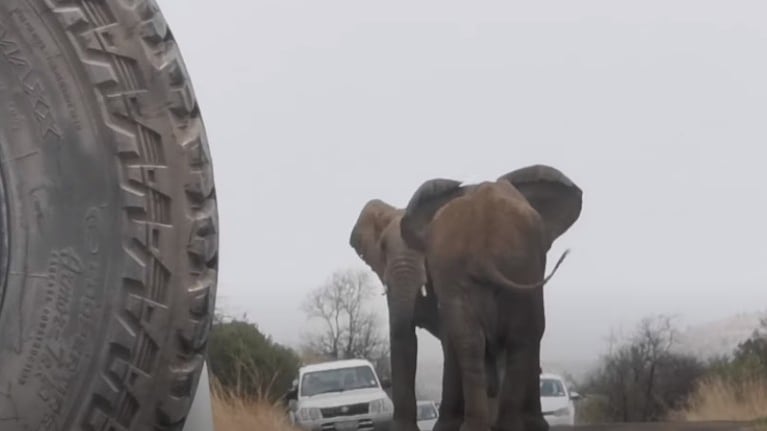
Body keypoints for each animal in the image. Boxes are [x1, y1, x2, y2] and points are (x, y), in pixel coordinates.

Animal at [400, 165, 584, 431]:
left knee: (471, 339)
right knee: (523, 334)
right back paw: (506, 425)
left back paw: (479, 426)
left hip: (474, 267)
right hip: (518, 264)